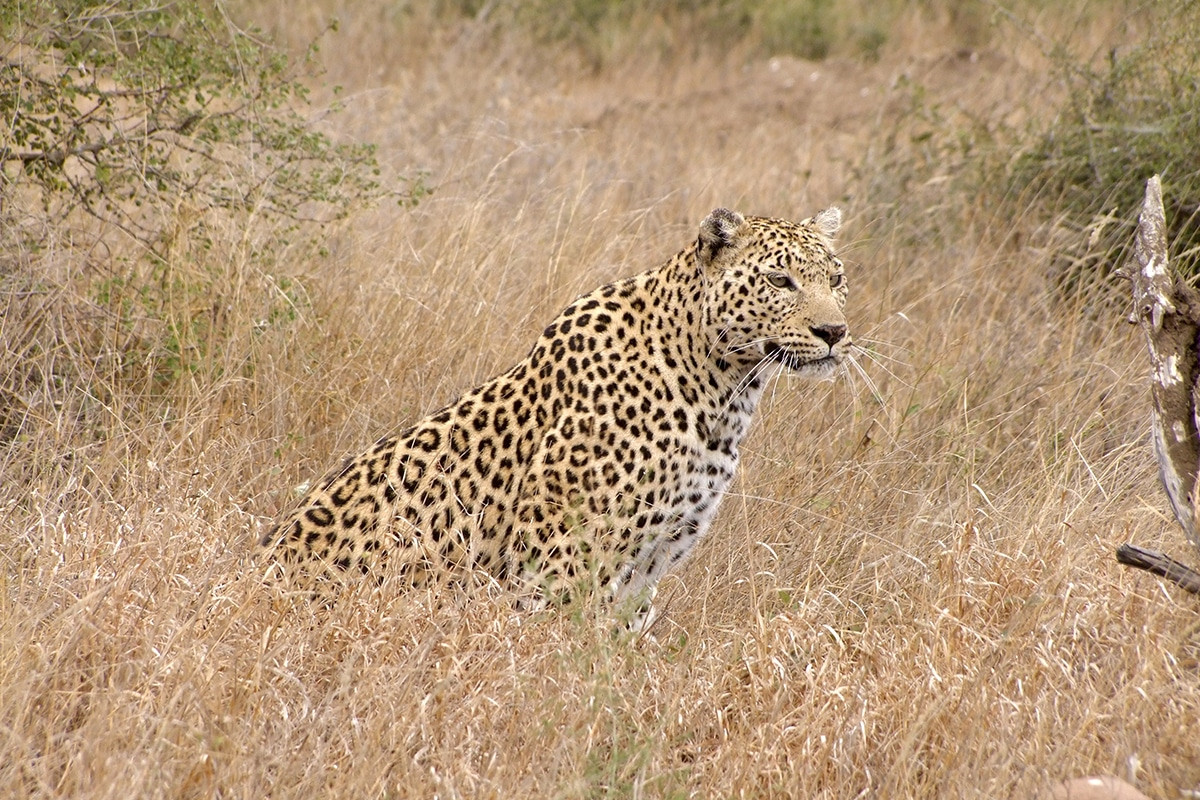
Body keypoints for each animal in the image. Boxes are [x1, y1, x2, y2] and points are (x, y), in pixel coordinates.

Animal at [258, 206, 851, 630]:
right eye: (779, 281)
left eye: (837, 278)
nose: (834, 332)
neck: (727, 389)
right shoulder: (561, 563)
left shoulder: (648, 564)